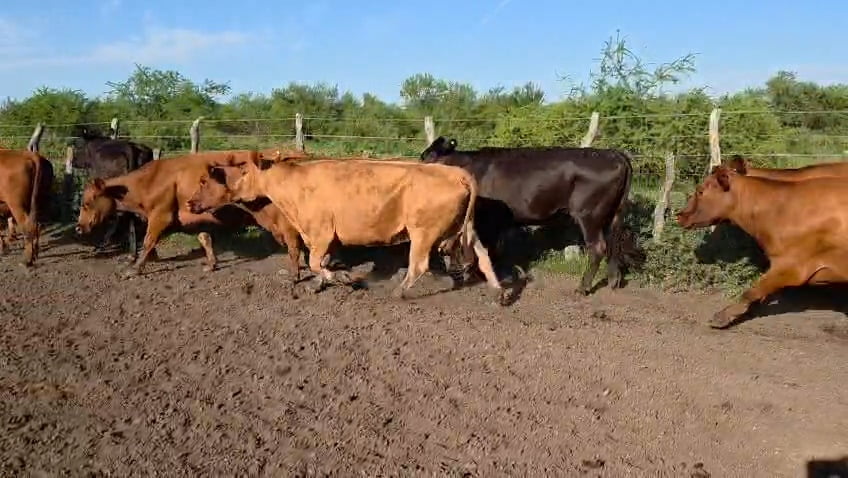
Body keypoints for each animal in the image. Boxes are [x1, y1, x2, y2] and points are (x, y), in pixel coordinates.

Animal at [75, 151, 278, 278]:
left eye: (86, 203)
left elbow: (149, 240)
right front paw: (211, 264)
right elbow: (204, 238)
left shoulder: (161, 215)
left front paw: (136, 268)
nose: (78, 227)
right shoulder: (196, 219)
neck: (149, 181)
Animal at [186, 153, 512, 304]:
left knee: (418, 265)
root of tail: (456, 172)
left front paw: (346, 279)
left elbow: (315, 262)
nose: (190, 202)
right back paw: (500, 292)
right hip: (466, 229)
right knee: (483, 256)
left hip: (423, 232)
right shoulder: (325, 237)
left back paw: (398, 292)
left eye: (206, 181)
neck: (293, 186)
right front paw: (321, 283)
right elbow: (321, 263)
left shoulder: (319, 233)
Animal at [419, 136, 642, 295]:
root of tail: (614, 154)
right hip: (612, 214)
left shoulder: (486, 219)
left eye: (428, 157)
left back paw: (582, 288)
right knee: (613, 242)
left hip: (589, 214)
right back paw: (613, 281)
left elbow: (484, 247)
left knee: (598, 247)